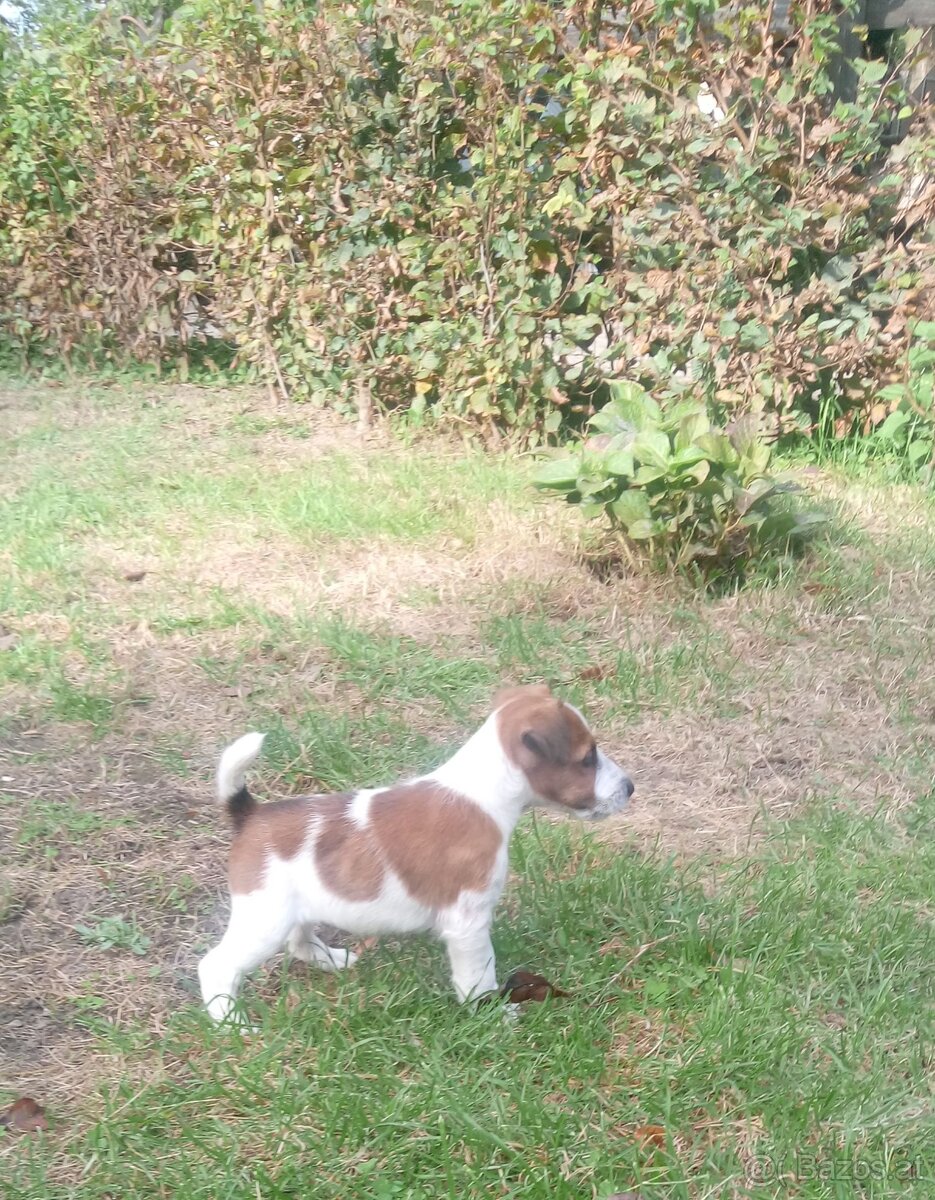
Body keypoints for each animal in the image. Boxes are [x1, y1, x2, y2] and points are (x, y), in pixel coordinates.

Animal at [198, 686, 638, 1022]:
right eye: (587, 757)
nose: (630, 787)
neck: (483, 792)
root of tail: (250, 813)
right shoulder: (468, 921)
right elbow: (479, 972)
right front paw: (489, 1013)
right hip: (263, 920)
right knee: (216, 966)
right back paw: (233, 1024)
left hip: (293, 910)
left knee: (300, 942)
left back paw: (335, 961)